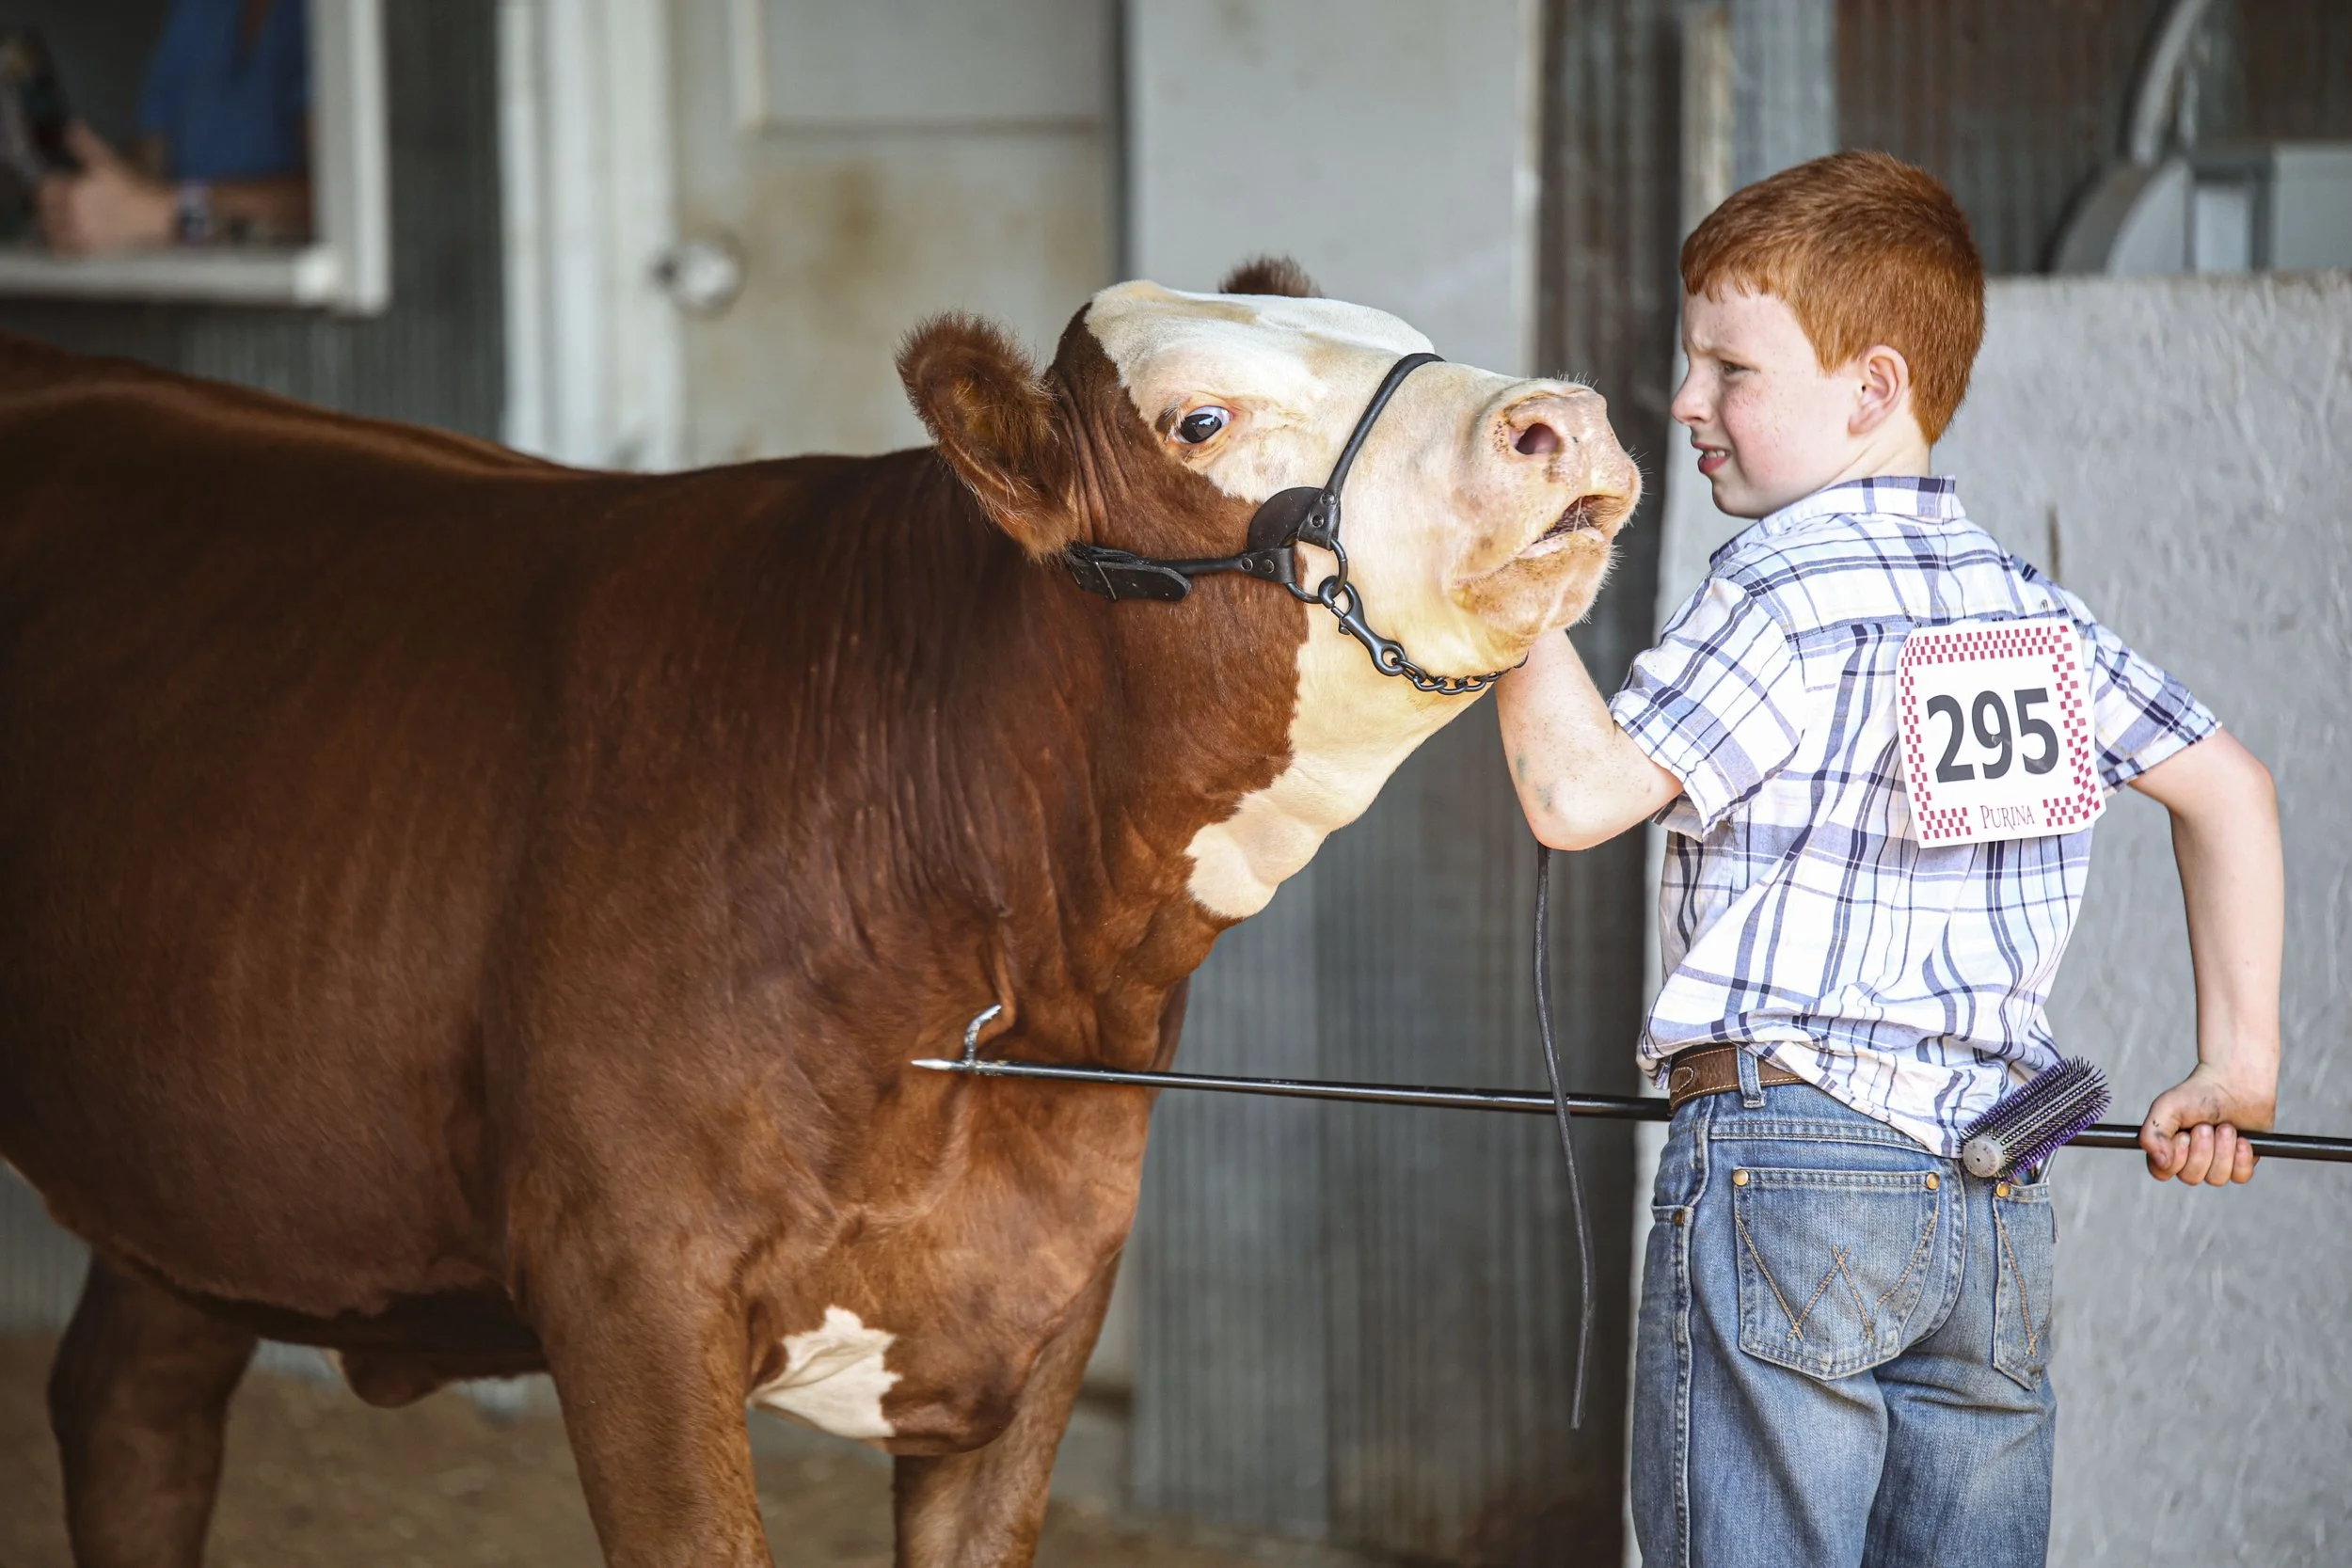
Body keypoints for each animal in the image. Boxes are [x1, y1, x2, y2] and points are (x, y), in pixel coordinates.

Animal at [0, 258, 1636, 1566]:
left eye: (1402, 336)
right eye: (1197, 423)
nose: (1561, 415)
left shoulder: (1050, 1287)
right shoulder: (625, 1282)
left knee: (130, 1399)